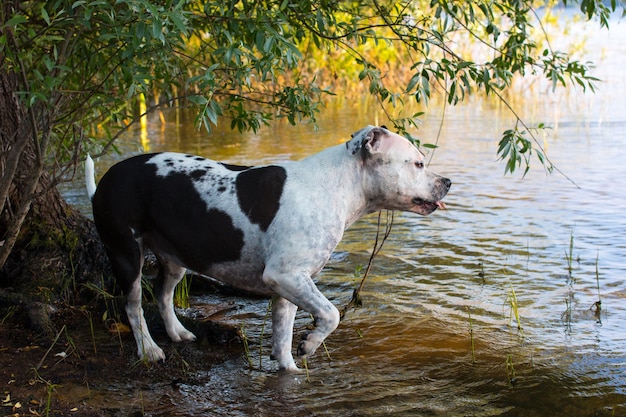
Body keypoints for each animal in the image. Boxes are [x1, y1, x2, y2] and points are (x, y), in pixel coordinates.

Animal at [86, 124, 448, 370]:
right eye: (418, 164)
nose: (447, 182)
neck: (339, 186)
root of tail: (104, 182)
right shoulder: (285, 276)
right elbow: (331, 314)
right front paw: (310, 344)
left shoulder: (288, 287)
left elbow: (283, 337)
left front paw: (291, 369)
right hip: (126, 253)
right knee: (133, 305)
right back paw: (148, 350)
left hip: (174, 258)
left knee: (163, 294)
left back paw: (177, 333)